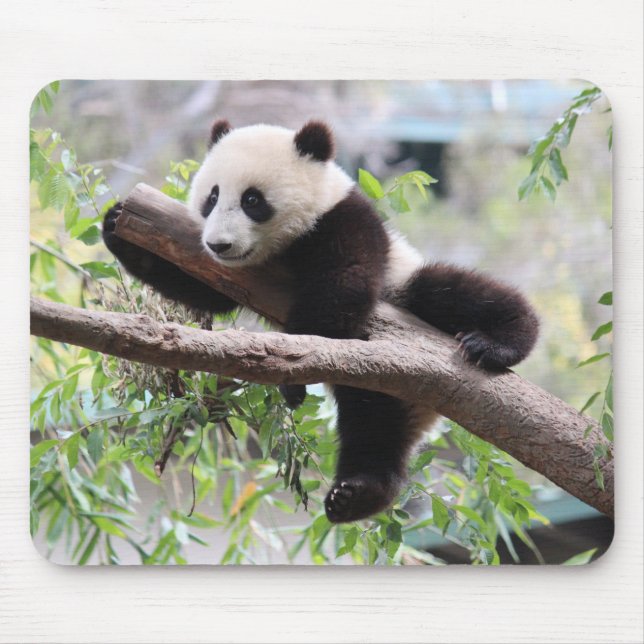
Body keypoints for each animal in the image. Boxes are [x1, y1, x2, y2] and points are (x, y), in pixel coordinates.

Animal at [103, 119, 539, 524]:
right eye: (212, 197)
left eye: (252, 199)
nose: (219, 244)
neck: (284, 245)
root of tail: (426, 410)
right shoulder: (235, 272)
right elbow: (202, 288)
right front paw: (116, 224)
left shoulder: (344, 220)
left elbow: (344, 283)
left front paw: (292, 377)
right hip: (382, 385)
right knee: (373, 425)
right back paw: (357, 494)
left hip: (405, 290)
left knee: (451, 291)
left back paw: (497, 343)